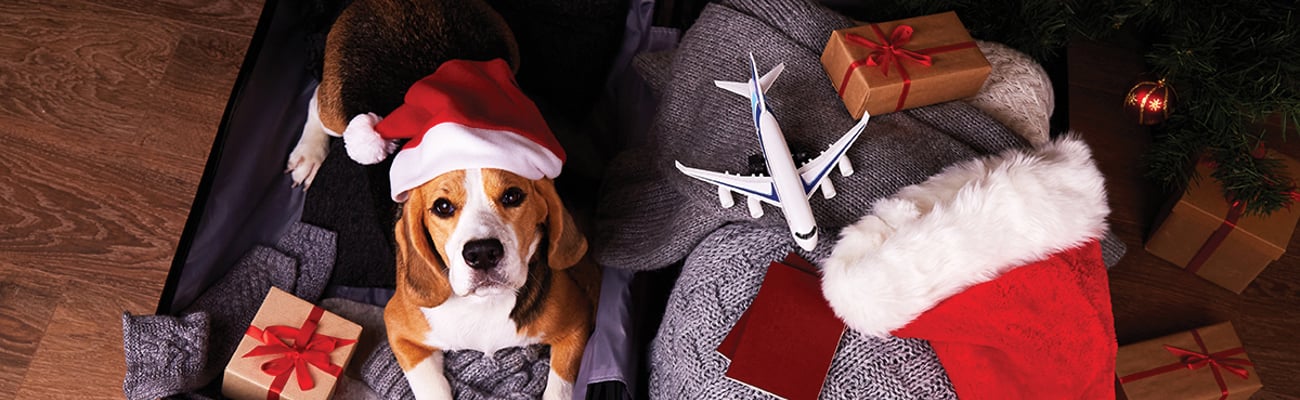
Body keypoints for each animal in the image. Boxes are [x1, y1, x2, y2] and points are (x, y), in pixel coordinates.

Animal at [284, 0, 598, 400]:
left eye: (514, 195)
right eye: (442, 207)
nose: (482, 254)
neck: (484, 307)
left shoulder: (576, 324)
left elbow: (559, 387)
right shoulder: (400, 329)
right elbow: (432, 386)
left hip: (509, 52)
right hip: (339, 109)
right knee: (315, 100)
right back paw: (309, 153)